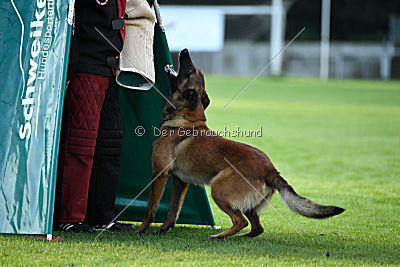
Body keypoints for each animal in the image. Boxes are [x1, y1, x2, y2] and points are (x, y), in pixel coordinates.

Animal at [135, 49, 344, 240]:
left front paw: (141, 230)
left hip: (218, 189)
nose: (185, 51)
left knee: (240, 221)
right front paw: (163, 229)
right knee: (257, 227)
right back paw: (239, 236)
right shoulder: (180, 182)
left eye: (191, 70)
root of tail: (271, 170)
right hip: (248, 205)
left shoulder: (160, 173)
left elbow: (151, 208)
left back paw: (219, 236)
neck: (186, 117)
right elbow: (172, 211)